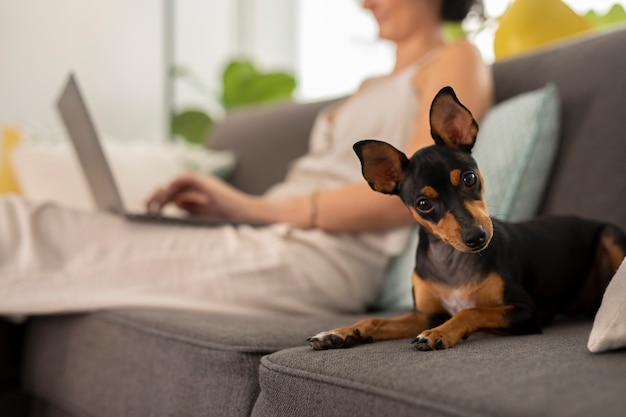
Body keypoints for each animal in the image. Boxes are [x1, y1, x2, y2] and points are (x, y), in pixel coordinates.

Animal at [308, 86, 624, 350]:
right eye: (423, 204)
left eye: (470, 178)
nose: (477, 236)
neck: (453, 260)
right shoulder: (425, 314)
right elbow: (377, 320)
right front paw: (341, 331)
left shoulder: (525, 312)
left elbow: (471, 310)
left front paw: (441, 333)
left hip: (610, 237)